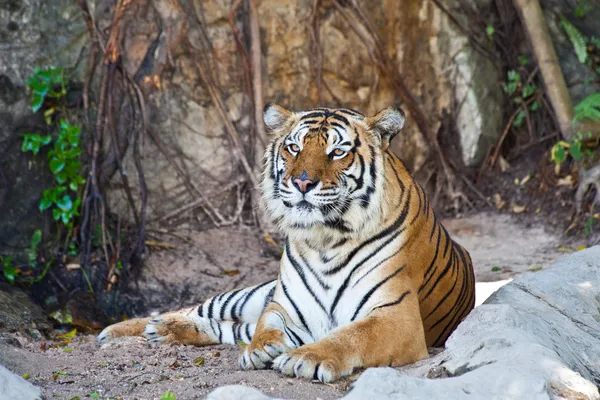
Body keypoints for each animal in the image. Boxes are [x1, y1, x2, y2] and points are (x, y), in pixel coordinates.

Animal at [97, 104, 474, 382]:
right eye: (294, 147)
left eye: (337, 152)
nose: (302, 182)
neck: (327, 238)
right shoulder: (284, 305)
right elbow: (267, 325)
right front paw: (261, 349)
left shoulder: (397, 317)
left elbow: (352, 335)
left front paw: (305, 358)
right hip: (249, 294)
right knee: (204, 310)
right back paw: (125, 330)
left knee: (229, 326)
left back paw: (157, 331)